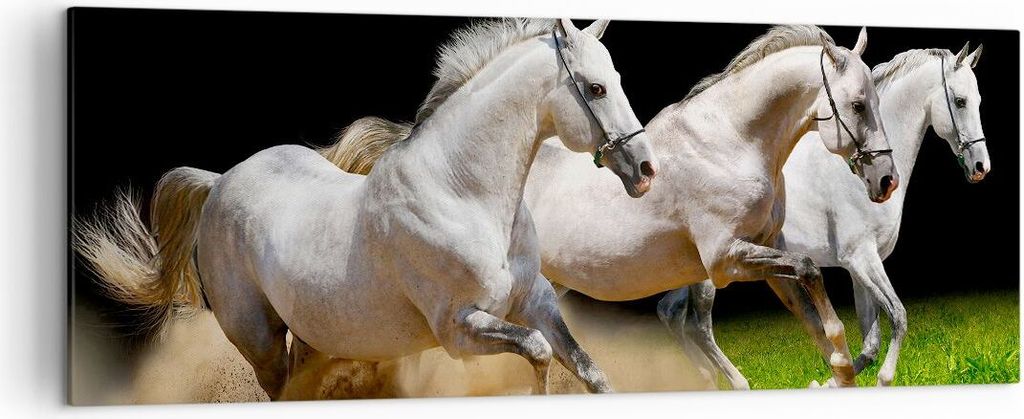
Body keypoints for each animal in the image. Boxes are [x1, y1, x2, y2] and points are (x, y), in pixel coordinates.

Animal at [73, 18, 658, 399]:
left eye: (618, 80)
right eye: (595, 87)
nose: (646, 169)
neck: (463, 194)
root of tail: (219, 183)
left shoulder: (534, 301)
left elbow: (588, 370)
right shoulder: (460, 328)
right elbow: (537, 352)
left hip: (314, 338)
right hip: (260, 341)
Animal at [331, 25, 899, 389]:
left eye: (875, 99)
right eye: (857, 104)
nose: (886, 180)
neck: (731, 142)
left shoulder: (764, 253)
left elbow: (813, 310)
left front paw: (842, 370)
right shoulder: (726, 259)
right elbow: (811, 273)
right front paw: (845, 362)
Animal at [667, 43, 988, 388]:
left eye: (978, 100)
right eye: (960, 101)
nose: (981, 167)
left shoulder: (860, 267)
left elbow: (870, 343)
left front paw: (830, 380)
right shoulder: (862, 258)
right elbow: (898, 317)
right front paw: (878, 378)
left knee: (670, 313)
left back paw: (704, 378)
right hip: (710, 274)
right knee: (698, 327)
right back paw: (735, 382)